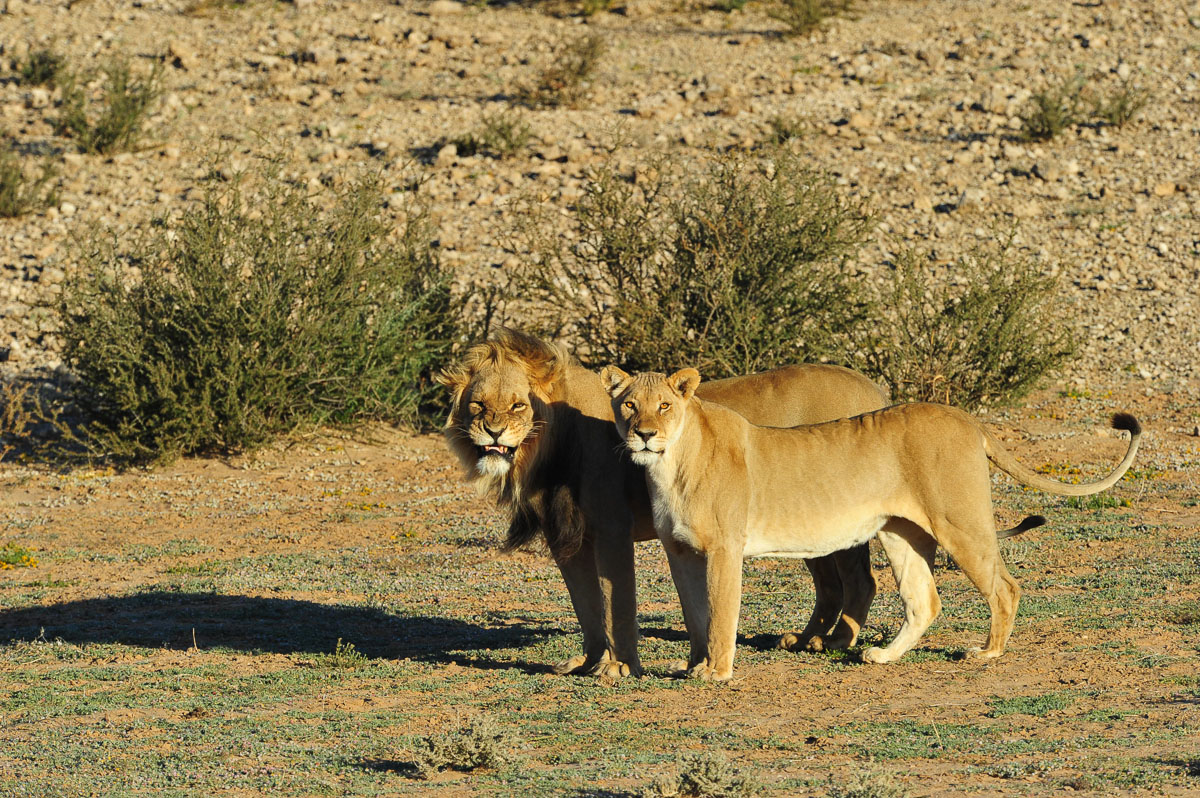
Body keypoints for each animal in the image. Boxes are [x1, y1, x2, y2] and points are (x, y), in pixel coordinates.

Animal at [436, 328, 890, 678]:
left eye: (518, 404)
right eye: (477, 404)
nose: (493, 432)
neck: (546, 452)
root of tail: (875, 388)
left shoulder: (612, 531)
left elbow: (616, 602)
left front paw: (619, 667)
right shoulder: (567, 539)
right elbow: (586, 606)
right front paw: (588, 662)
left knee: (859, 580)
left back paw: (836, 641)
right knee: (829, 584)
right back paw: (808, 639)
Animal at [600, 365, 1141, 680]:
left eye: (664, 405)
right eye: (628, 404)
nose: (644, 434)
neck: (669, 464)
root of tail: (969, 419)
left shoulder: (725, 550)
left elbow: (721, 614)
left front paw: (716, 672)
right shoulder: (681, 552)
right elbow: (696, 614)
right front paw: (692, 664)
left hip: (958, 521)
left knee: (1003, 586)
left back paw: (987, 653)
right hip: (900, 532)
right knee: (924, 600)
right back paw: (881, 656)